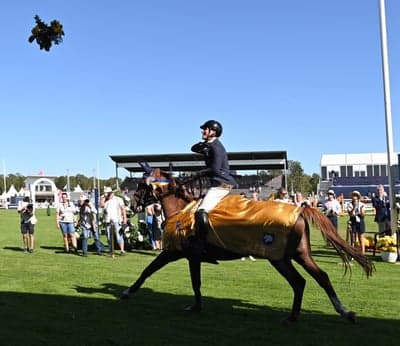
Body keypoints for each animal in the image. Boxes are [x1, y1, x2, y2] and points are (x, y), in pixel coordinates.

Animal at [123, 170, 374, 324]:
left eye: (141, 185)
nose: (132, 205)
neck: (182, 212)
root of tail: (300, 209)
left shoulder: (177, 253)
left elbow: (153, 271)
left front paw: (128, 292)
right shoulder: (184, 256)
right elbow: (178, 277)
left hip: (281, 257)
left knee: (309, 279)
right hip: (289, 256)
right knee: (309, 280)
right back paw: (311, 315)